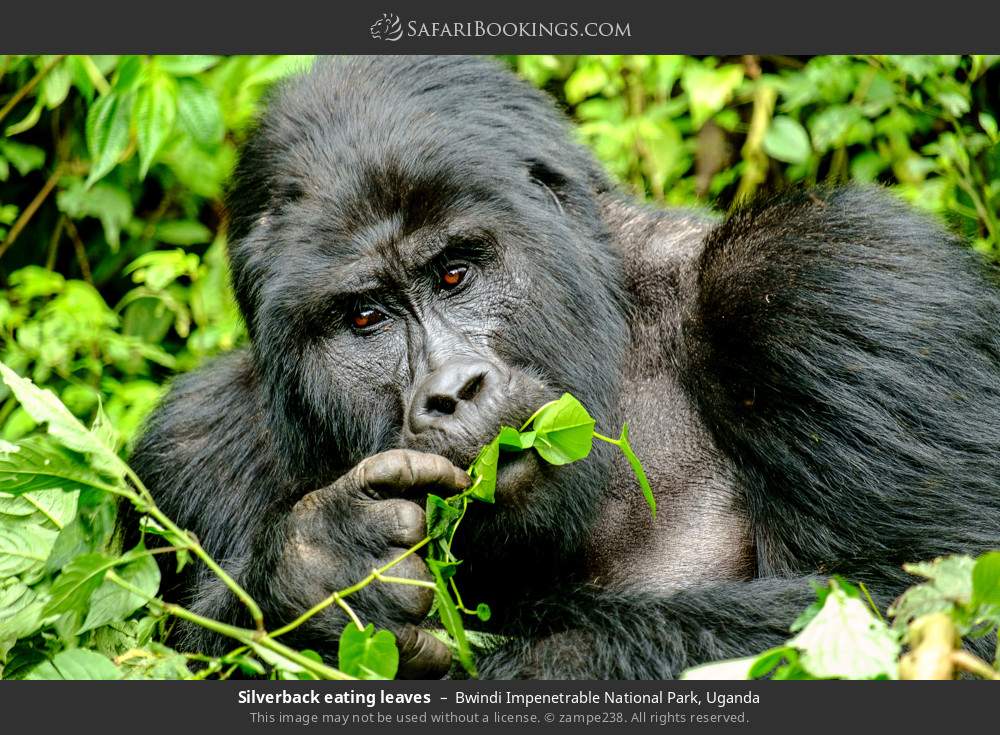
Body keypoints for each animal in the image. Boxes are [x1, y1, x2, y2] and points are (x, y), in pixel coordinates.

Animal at [129, 54, 1000, 680]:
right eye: (364, 318)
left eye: (455, 273)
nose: (450, 392)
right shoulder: (190, 448)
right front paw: (318, 573)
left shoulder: (834, 277)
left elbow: (921, 603)